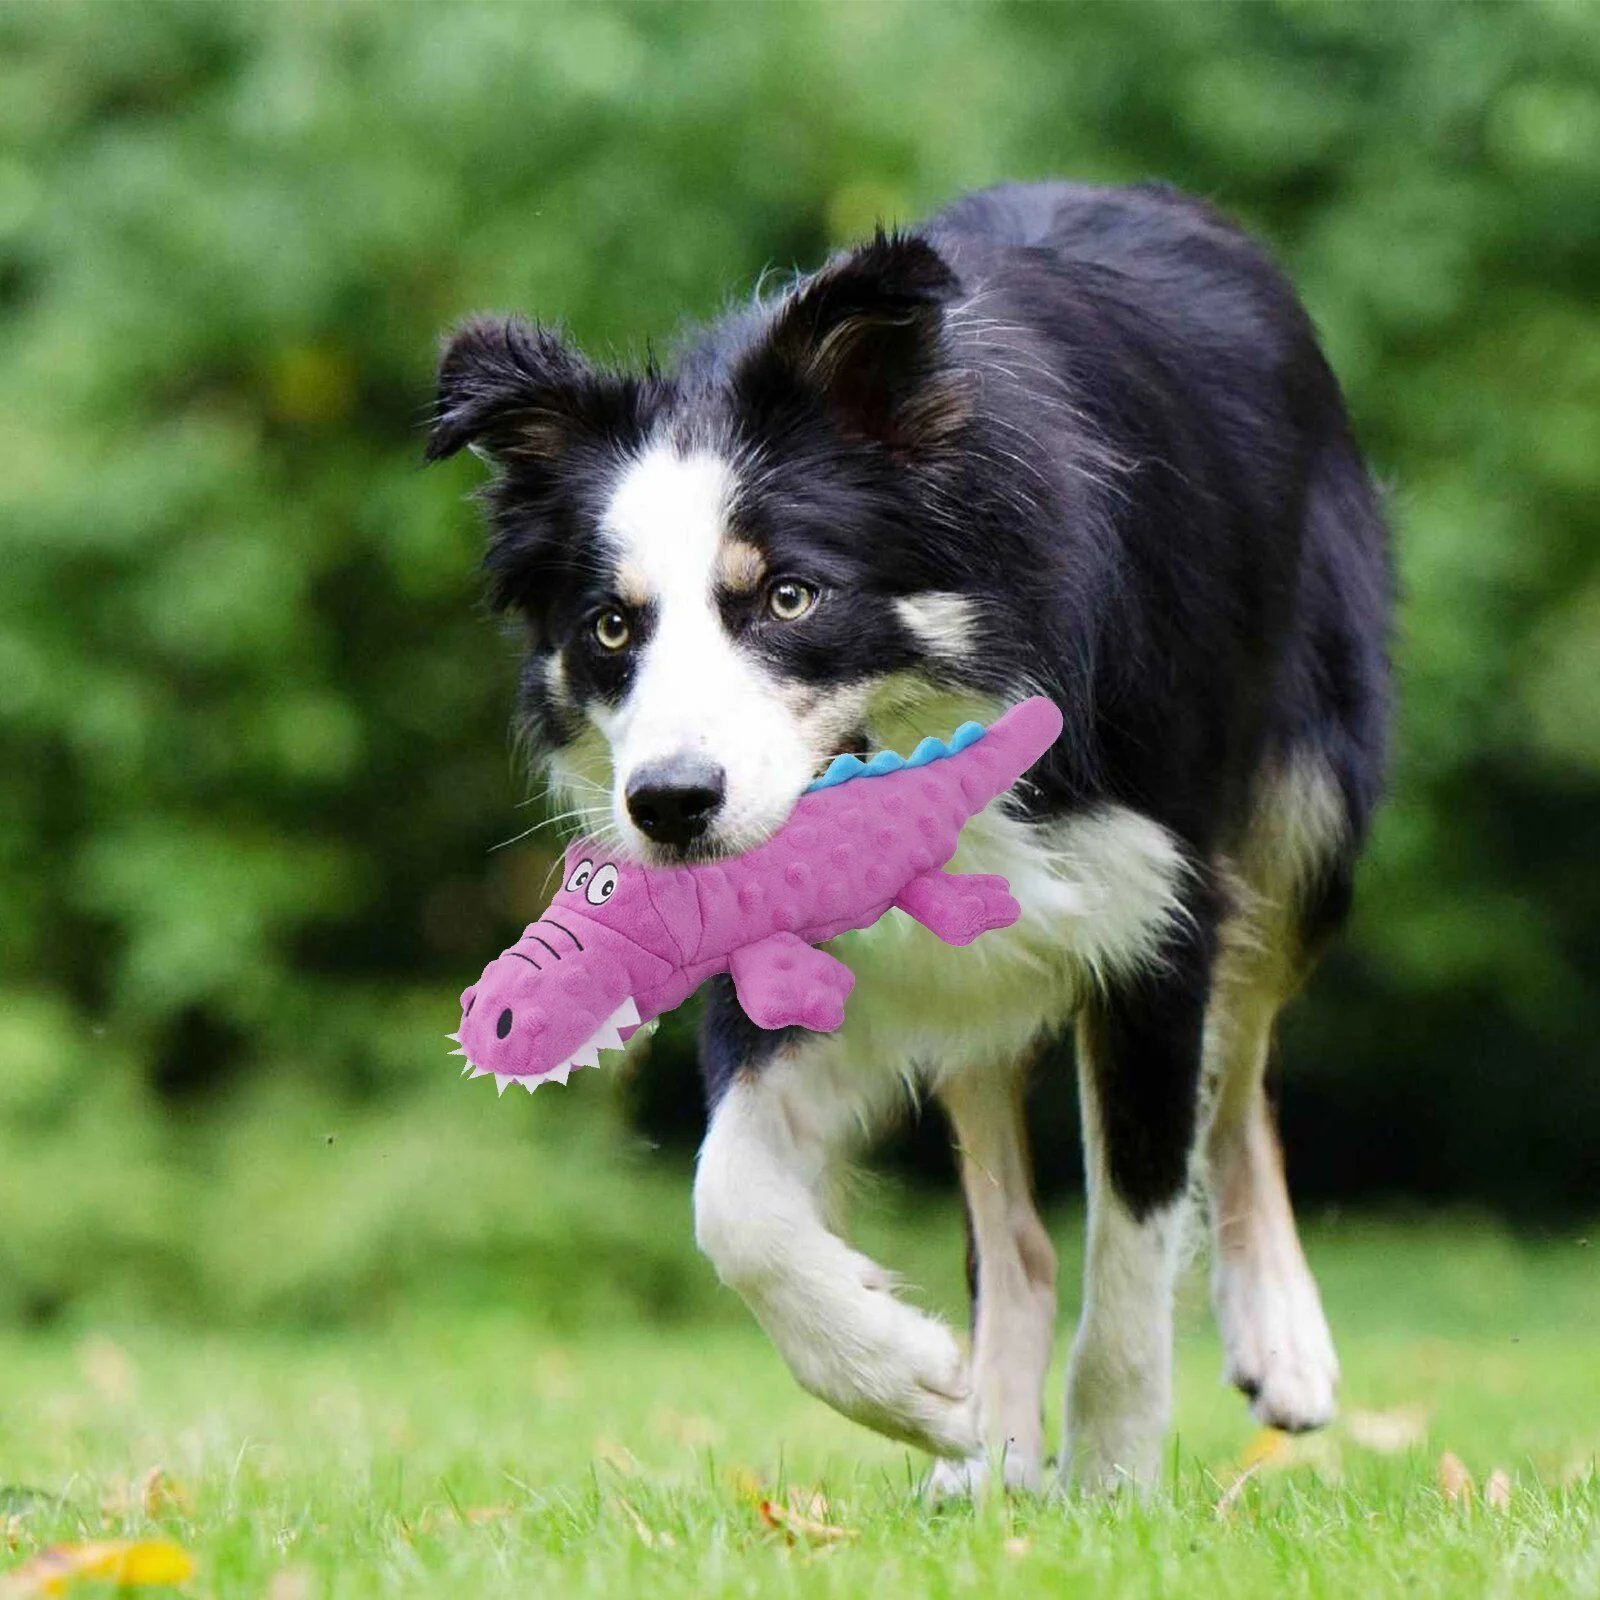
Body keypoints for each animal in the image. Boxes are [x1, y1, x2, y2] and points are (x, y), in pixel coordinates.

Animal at [425, 181, 1388, 1491]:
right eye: (612, 627)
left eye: (789, 596)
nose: (669, 805)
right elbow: (729, 1198)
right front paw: (904, 1380)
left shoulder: (1157, 911)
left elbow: (1135, 1238)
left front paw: (1117, 1485)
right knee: (1016, 1226)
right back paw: (987, 1450)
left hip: (1303, 811)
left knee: (1239, 1073)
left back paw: (1277, 1339)